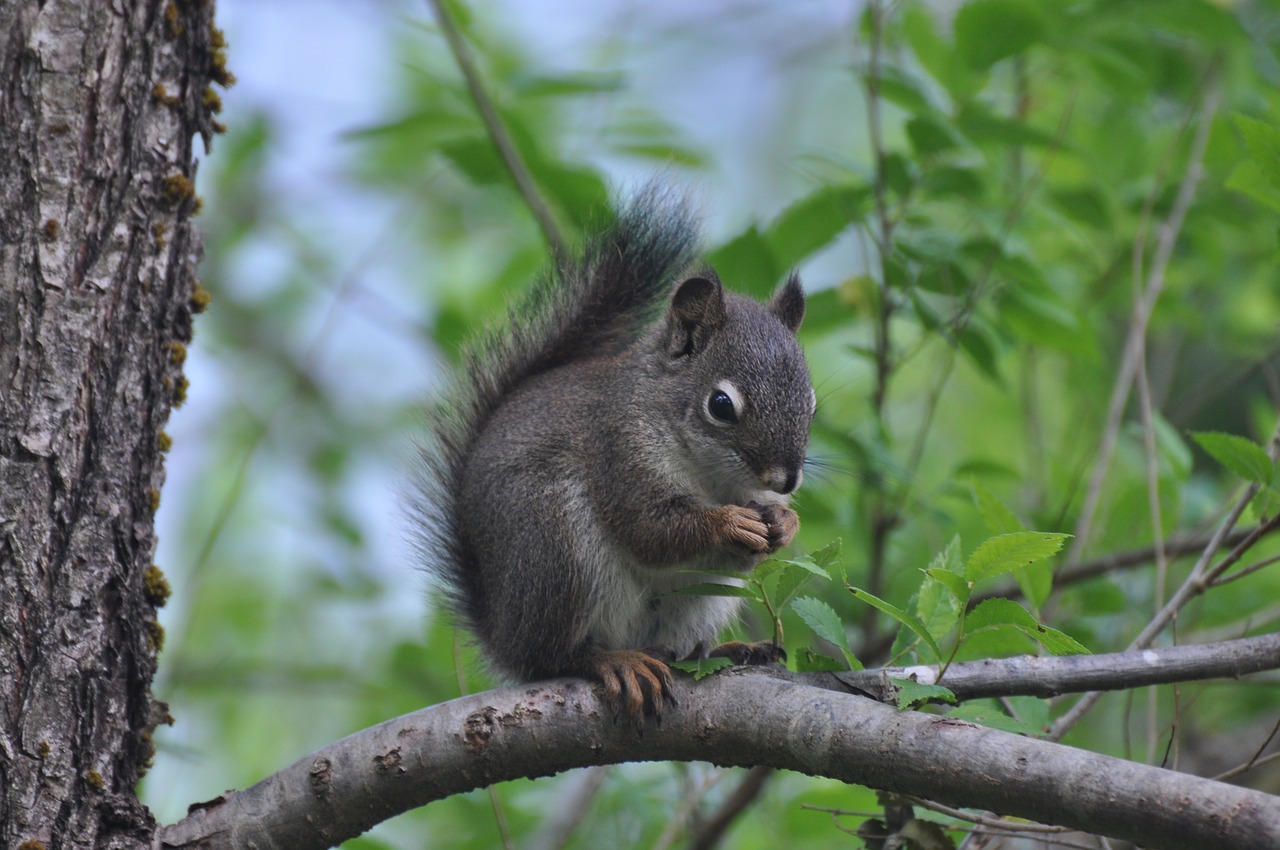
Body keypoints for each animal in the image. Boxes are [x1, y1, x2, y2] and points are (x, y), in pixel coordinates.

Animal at [414, 188, 814, 721]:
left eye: (812, 402)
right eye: (721, 404)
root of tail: (504, 635)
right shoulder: (616, 450)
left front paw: (784, 524)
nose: (785, 480)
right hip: (554, 546)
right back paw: (613, 660)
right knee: (557, 656)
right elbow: (649, 527)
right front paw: (728, 522)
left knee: (677, 645)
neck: (710, 474)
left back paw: (723, 650)